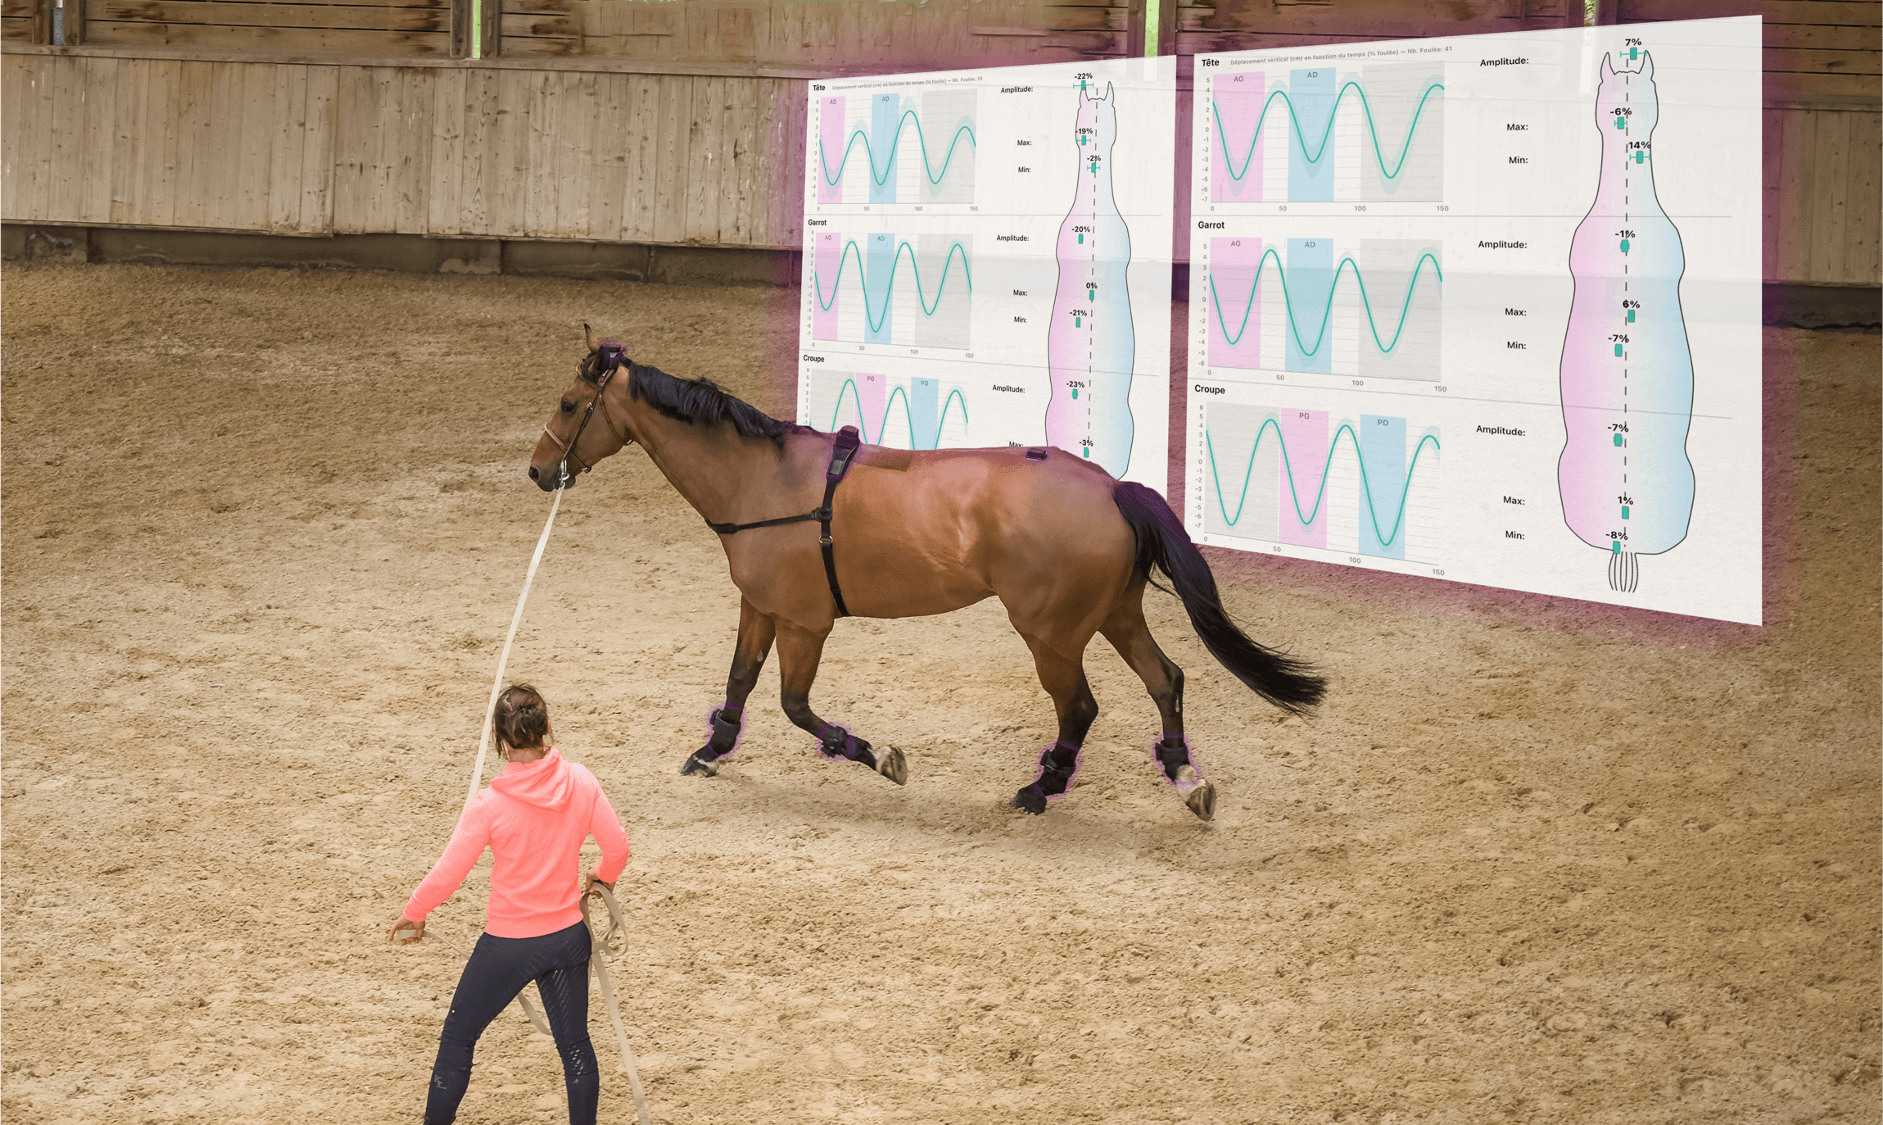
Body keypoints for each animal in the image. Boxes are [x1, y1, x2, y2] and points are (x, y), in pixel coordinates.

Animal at [531, 329, 1325, 821]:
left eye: (569, 405)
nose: (538, 471)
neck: (760, 482)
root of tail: (1110, 486)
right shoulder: (759, 607)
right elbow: (738, 685)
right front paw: (711, 749)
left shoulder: (805, 623)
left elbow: (794, 704)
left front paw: (876, 755)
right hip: (1113, 613)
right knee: (1166, 679)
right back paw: (1185, 778)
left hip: (1052, 634)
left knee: (1080, 707)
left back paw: (1041, 788)